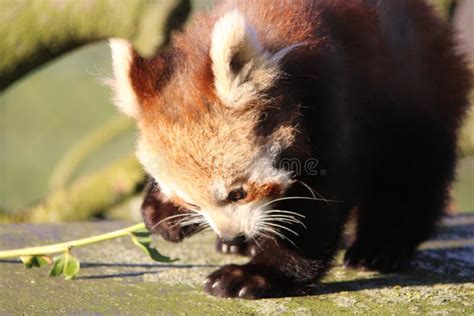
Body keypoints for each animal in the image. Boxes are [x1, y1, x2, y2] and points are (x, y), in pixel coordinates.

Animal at [110, 0, 470, 298]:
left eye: (238, 193)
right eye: (189, 200)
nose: (233, 236)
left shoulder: (334, 99)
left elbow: (317, 208)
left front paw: (258, 275)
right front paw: (161, 214)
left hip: (419, 95)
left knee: (410, 177)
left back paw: (381, 247)